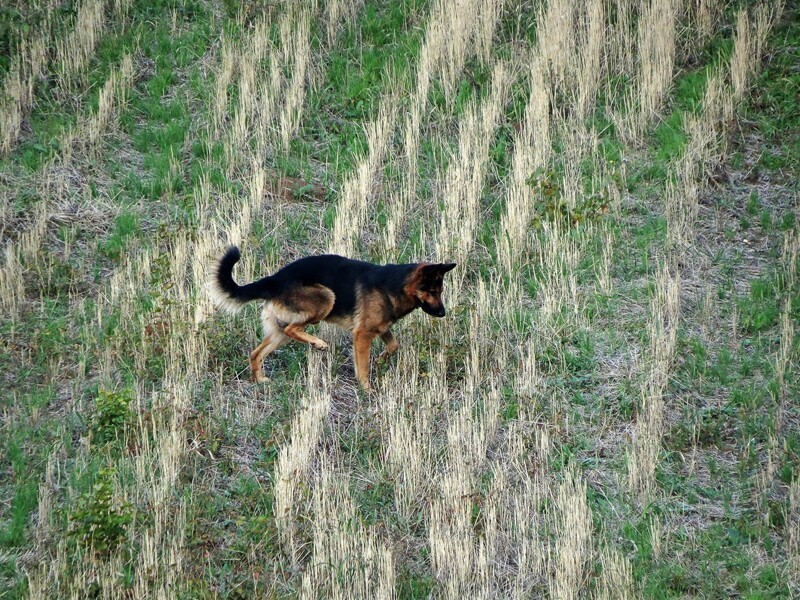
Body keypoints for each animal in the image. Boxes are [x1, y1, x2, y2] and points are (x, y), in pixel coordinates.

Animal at [209, 247, 454, 392]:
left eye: (441, 292)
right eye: (433, 292)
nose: (443, 314)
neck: (394, 285)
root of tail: (274, 279)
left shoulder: (381, 328)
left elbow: (394, 346)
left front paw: (380, 360)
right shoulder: (362, 334)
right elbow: (363, 367)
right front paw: (366, 388)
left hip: (278, 332)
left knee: (257, 352)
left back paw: (259, 379)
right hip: (326, 297)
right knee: (292, 329)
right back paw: (318, 343)